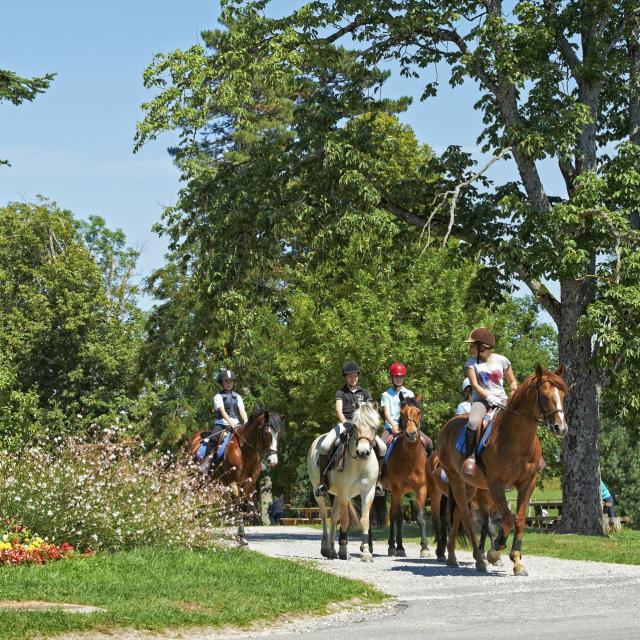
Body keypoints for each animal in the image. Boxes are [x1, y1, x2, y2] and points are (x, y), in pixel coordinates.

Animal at [186, 410, 284, 544]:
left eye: (278, 435)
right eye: (267, 433)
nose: (272, 461)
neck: (244, 451)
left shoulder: (249, 485)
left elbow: (243, 507)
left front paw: (242, 536)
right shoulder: (233, 483)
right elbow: (237, 506)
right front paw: (241, 537)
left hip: (207, 482)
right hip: (193, 479)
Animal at [306, 402, 380, 564]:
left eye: (373, 426)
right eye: (355, 426)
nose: (363, 452)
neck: (359, 464)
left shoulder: (368, 492)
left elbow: (365, 521)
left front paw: (366, 553)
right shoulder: (344, 493)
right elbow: (345, 520)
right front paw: (344, 551)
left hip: (336, 495)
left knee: (333, 516)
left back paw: (332, 550)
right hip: (320, 492)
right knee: (324, 515)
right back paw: (325, 548)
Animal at [382, 392, 432, 556]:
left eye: (418, 412)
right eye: (402, 413)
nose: (411, 434)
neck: (410, 457)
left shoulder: (421, 488)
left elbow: (421, 517)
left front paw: (424, 547)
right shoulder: (397, 488)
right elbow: (398, 517)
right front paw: (400, 548)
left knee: (391, 514)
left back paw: (391, 544)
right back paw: (390, 546)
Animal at [438, 362, 568, 576]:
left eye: (563, 396)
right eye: (545, 396)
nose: (561, 428)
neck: (516, 438)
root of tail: (447, 427)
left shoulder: (527, 483)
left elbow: (520, 519)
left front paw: (517, 561)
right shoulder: (496, 484)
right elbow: (507, 519)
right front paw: (495, 553)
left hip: (472, 486)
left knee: (458, 516)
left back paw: (452, 557)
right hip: (457, 481)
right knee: (467, 517)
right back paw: (479, 559)